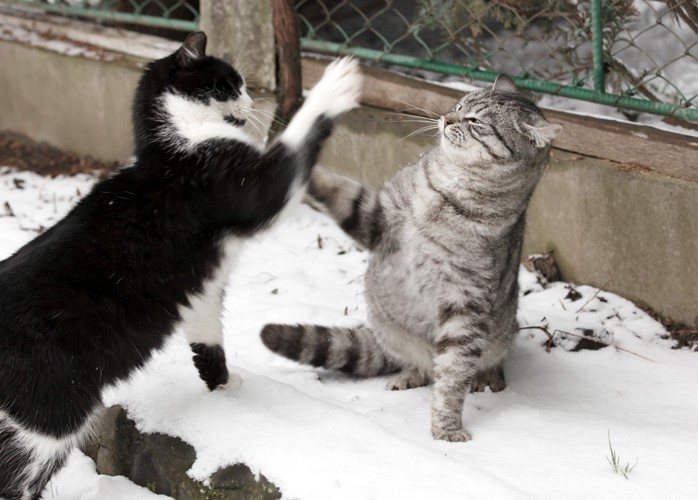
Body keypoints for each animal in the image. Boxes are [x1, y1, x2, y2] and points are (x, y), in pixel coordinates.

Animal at [0, 33, 358, 498]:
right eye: (230, 84)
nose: (252, 99)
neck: (179, 141)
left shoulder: (201, 289)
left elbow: (207, 336)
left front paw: (221, 385)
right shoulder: (255, 187)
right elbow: (295, 142)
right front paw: (337, 82)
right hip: (46, 420)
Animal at [260, 74, 560, 442]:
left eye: (476, 121)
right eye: (459, 105)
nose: (447, 119)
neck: (448, 192)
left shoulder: (465, 303)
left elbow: (453, 373)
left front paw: (447, 426)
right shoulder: (381, 223)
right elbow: (341, 191)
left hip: (500, 333)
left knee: (472, 362)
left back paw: (486, 377)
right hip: (388, 327)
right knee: (421, 364)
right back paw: (409, 374)